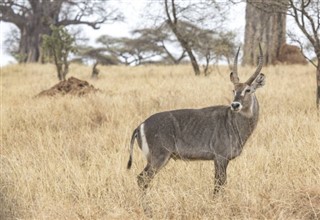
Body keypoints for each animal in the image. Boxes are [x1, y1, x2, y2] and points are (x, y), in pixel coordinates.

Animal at [127, 45, 264, 194]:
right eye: (233, 90)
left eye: (248, 90)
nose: (235, 105)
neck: (233, 122)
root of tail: (140, 125)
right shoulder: (220, 157)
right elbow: (218, 185)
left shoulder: (220, 159)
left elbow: (220, 183)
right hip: (159, 157)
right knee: (142, 179)